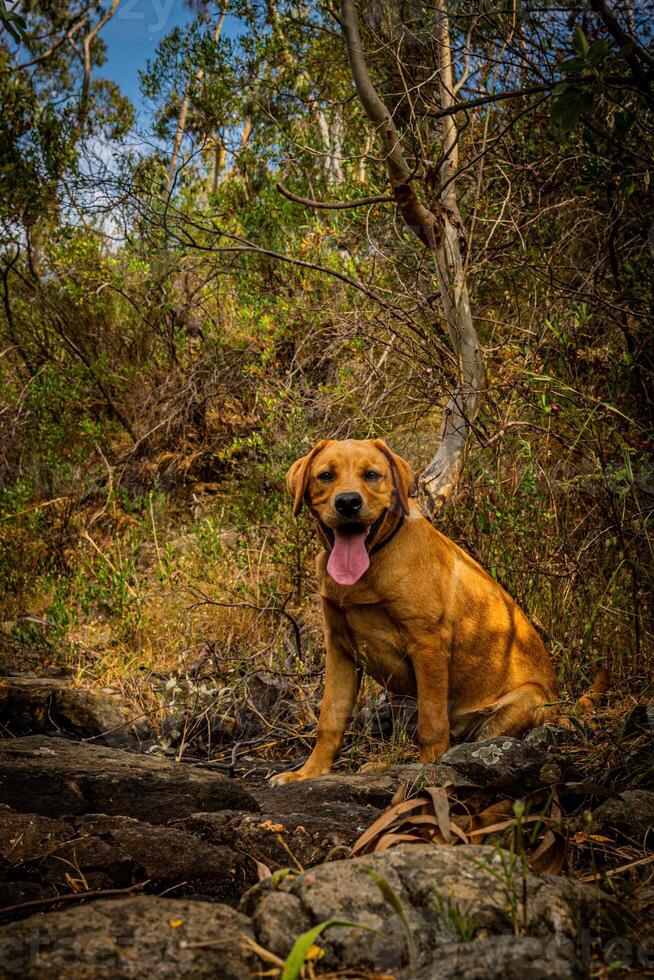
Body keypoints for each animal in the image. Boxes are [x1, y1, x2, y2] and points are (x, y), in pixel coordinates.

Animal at [272, 440, 560, 784]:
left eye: (372, 475)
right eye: (326, 476)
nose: (348, 503)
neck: (371, 564)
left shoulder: (428, 647)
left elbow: (432, 726)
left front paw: (427, 771)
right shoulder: (340, 649)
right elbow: (330, 718)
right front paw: (309, 773)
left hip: (527, 700)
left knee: (474, 740)